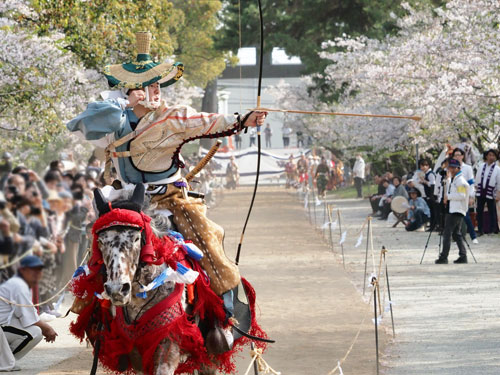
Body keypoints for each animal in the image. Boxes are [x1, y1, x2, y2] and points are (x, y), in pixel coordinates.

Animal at [69, 185, 270, 375]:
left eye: (136, 238)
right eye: (101, 240)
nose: (117, 289)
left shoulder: (169, 341)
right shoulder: (136, 351)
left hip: (209, 353)